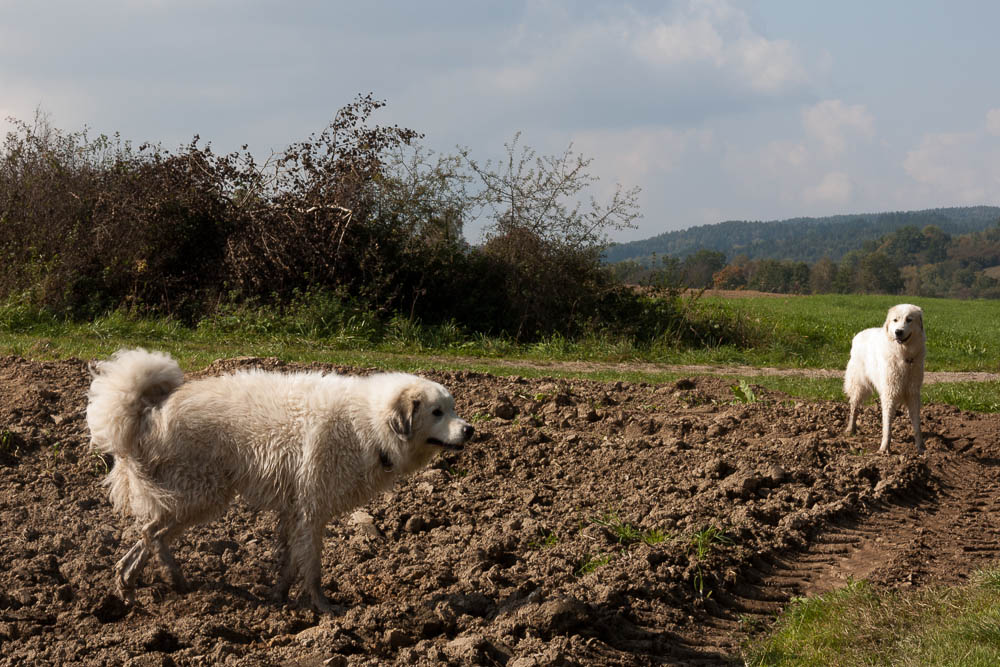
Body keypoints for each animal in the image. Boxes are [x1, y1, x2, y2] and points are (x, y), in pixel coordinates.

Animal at [87, 352, 472, 612]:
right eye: (437, 412)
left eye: (453, 408)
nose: (470, 430)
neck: (367, 423)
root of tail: (149, 412)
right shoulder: (311, 511)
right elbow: (312, 568)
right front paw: (325, 609)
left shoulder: (295, 512)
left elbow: (288, 563)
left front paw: (279, 599)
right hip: (202, 494)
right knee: (152, 533)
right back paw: (171, 577)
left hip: (191, 496)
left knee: (146, 535)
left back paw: (128, 586)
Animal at [840, 306, 924, 454]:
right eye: (895, 320)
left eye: (909, 320)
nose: (898, 332)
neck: (905, 357)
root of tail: (858, 335)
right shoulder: (889, 393)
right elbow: (887, 424)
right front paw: (885, 448)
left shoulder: (913, 393)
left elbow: (916, 423)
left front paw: (920, 448)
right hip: (858, 385)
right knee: (854, 406)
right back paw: (851, 429)